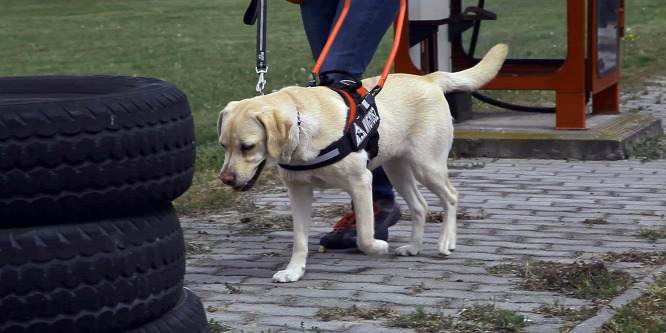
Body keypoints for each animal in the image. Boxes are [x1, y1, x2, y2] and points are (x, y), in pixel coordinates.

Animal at [215, 44, 506, 282]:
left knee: (451, 196)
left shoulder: (361, 182)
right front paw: (294, 271)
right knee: (420, 206)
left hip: (427, 166)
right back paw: (414, 247)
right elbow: (299, 240)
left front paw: (378, 247)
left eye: (248, 146)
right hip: (397, 169)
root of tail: (428, 78)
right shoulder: (299, 193)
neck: (302, 126)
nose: (226, 179)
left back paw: (446, 241)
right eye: (223, 146)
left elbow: (365, 236)